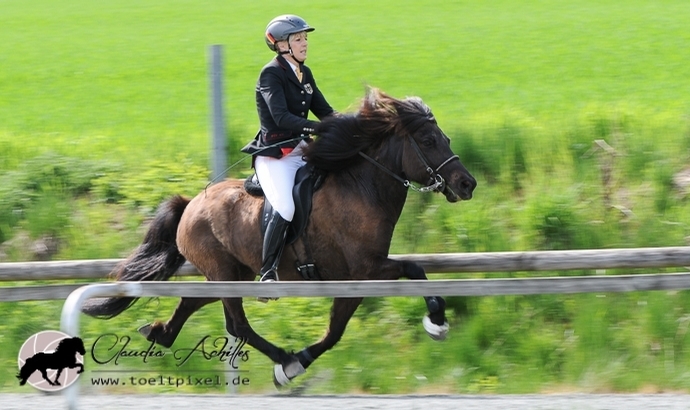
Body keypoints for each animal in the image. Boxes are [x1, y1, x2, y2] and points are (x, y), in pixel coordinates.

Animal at [82, 88, 472, 386]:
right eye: (428, 140)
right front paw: (437, 323)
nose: (467, 184)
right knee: (237, 324)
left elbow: (336, 330)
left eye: (446, 138)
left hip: (234, 272)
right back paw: (282, 357)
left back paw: (160, 333)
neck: (363, 189)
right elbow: (413, 270)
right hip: (224, 272)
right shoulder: (366, 269)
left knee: (194, 303)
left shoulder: (356, 278)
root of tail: (190, 202)